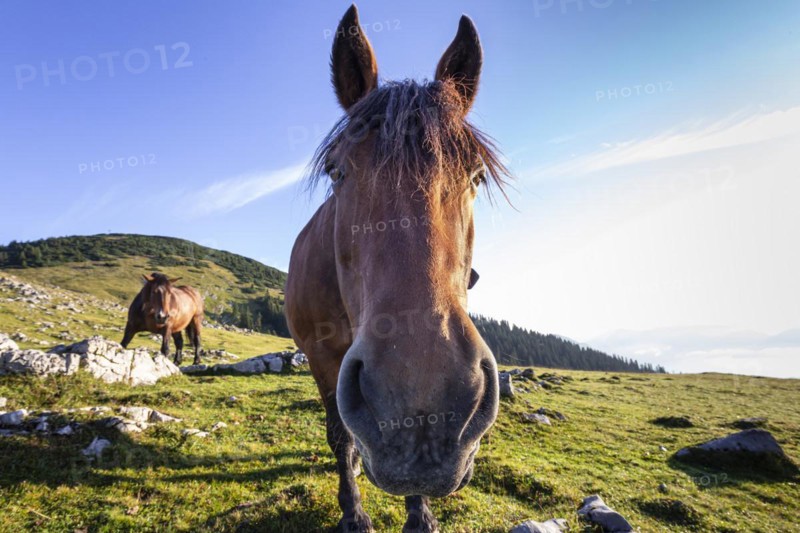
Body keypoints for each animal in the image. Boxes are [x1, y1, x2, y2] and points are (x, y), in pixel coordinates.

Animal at [284, 5, 509, 531]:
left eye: (476, 175)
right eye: (337, 171)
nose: (421, 407)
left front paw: (419, 515)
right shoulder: (322, 357)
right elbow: (339, 435)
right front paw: (353, 513)